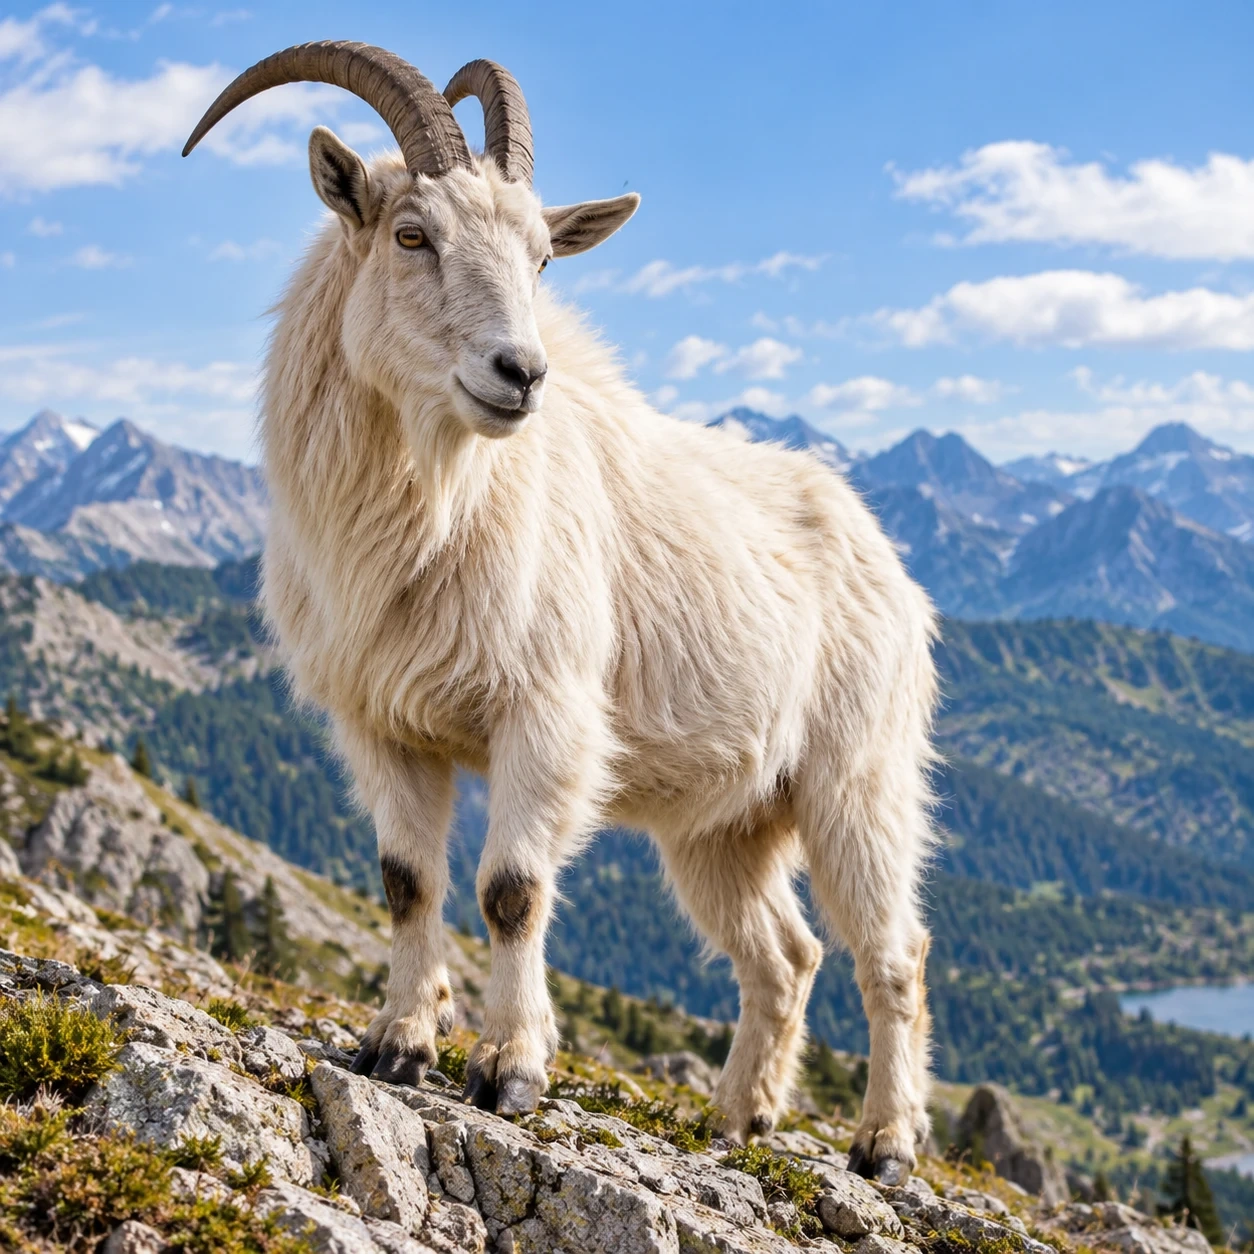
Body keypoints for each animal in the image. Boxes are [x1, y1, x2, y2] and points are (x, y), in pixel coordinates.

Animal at [183, 42, 939, 1180]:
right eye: (412, 234)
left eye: (543, 258)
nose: (520, 374)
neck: (437, 513)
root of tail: (884, 558)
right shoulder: (384, 727)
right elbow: (406, 879)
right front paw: (396, 1046)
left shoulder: (543, 716)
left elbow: (511, 889)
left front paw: (509, 1070)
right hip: (725, 824)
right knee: (785, 953)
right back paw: (738, 1121)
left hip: (858, 780)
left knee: (891, 953)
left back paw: (886, 1143)